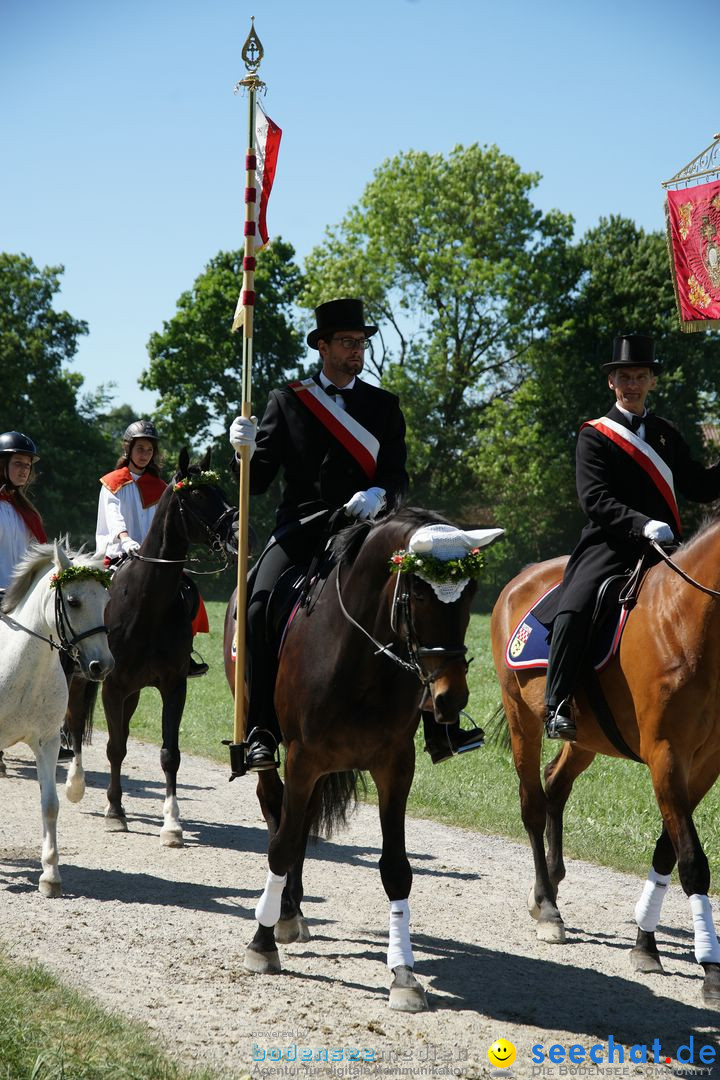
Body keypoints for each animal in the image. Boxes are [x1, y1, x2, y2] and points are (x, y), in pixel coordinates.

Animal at [65, 447, 236, 842]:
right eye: (197, 494)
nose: (236, 530)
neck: (146, 604)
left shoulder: (172, 685)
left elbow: (169, 753)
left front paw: (172, 823)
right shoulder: (111, 685)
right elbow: (115, 748)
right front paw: (115, 812)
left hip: (133, 691)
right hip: (82, 679)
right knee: (76, 721)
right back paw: (76, 783)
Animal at [225, 509, 496, 1006]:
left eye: (470, 594)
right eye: (418, 593)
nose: (449, 698)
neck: (357, 656)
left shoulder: (395, 767)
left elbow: (396, 868)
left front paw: (404, 974)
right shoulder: (302, 759)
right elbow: (281, 845)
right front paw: (261, 942)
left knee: (300, 819)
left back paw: (291, 910)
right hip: (278, 755)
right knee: (276, 812)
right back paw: (282, 912)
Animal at [492, 514, 720, 1002]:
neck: (688, 619)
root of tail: (522, 577)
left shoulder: (705, 764)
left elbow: (667, 850)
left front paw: (645, 944)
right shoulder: (666, 755)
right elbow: (692, 861)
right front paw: (710, 969)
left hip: (585, 739)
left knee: (555, 784)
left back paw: (548, 885)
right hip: (523, 721)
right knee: (533, 803)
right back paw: (547, 908)